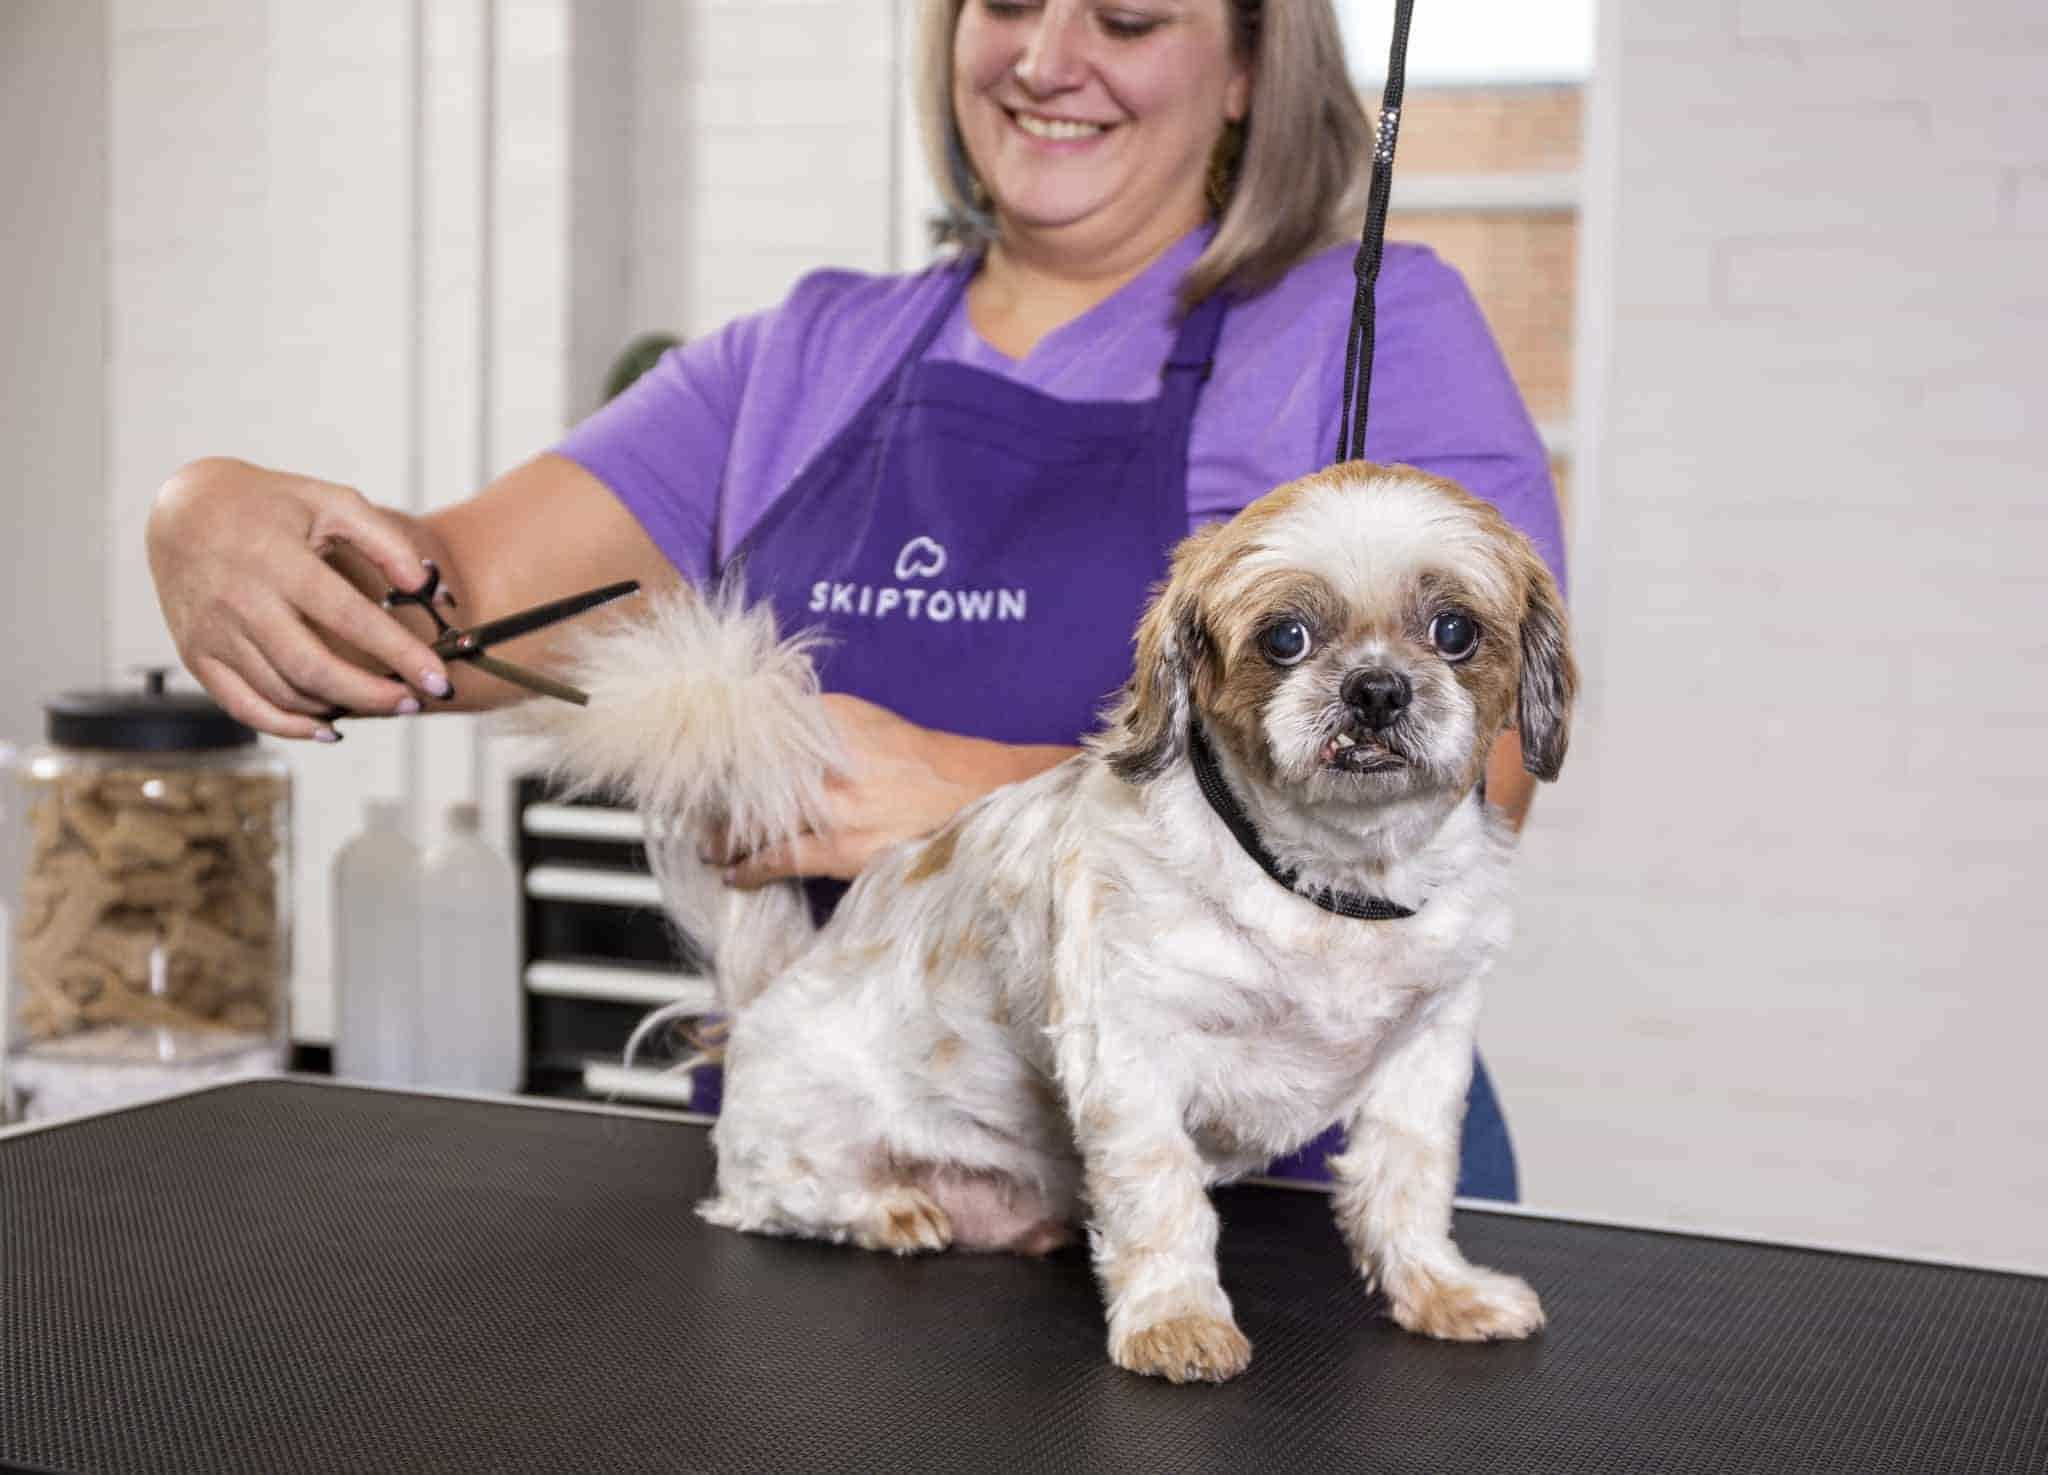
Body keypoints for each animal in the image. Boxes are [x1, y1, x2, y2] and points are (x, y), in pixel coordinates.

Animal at [532, 460, 1581, 1384]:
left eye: (1455, 630)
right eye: (1285, 636)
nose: (1375, 687)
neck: (1325, 889)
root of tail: (763, 998)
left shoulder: (1424, 1053)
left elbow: (1406, 1183)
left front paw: (1441, 1291)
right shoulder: (1130, 1053)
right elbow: (1163, 1198)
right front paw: (1176, 1320)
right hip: (799, 1139)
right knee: (769, 1199)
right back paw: (886, 1209)